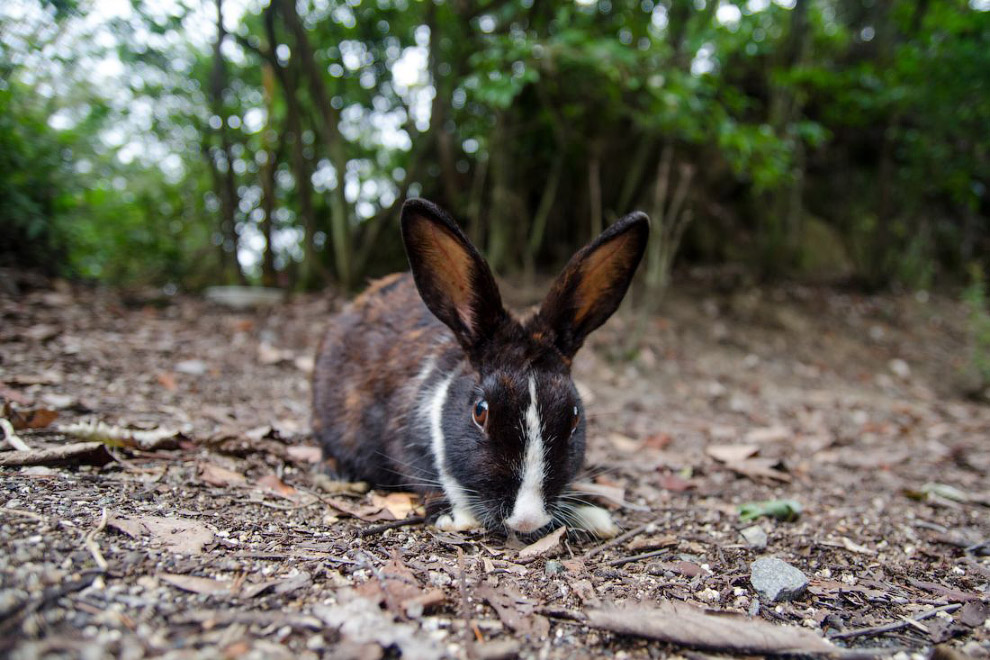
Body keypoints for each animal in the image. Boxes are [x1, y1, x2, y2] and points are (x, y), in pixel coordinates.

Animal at [312, 199, 652, 540]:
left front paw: (595, 516)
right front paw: (455, 516)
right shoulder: (404, 437)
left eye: (574, 417)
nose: (527, 519)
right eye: (480, 411)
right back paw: (335, 474)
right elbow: (425, 475)